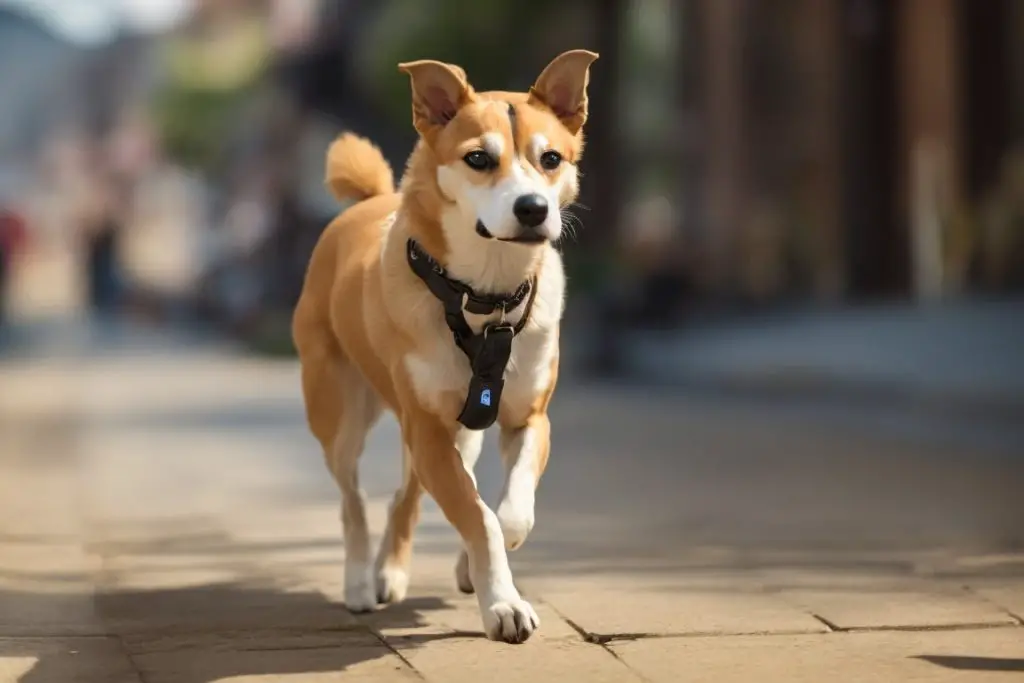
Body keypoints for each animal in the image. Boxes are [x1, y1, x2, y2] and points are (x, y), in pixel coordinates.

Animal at [292, 50, 598, 643]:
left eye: (551, 158)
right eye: (478, 158)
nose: (533, 208)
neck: (487, 297)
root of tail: (367, 202)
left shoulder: (527, 416)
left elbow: (507, 509)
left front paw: (487, 557)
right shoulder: (428, 425)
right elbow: (476, 514)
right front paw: (502, 603)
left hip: (458, 428)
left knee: (408, 493)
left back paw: (391, 571)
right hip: (339, 408)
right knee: (352, 498)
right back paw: (361, 583)